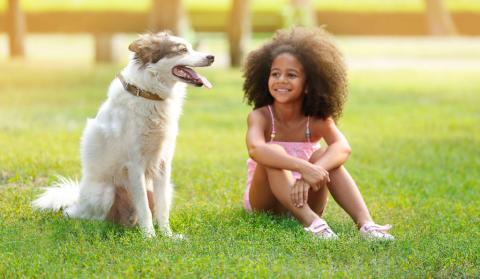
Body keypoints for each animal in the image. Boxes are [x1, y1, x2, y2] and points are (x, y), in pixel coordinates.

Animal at [32, 32, 213, 238]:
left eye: (191, 47)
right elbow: (144, 208)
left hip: (167, 188)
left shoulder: (163, 165)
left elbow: (162, 208)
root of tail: (77, 201)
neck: (149, 94)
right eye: (182, 50)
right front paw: (150, 237)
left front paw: (167, 236)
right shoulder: (135, 165)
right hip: (105, 192)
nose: (212, 57)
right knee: (84, 216)